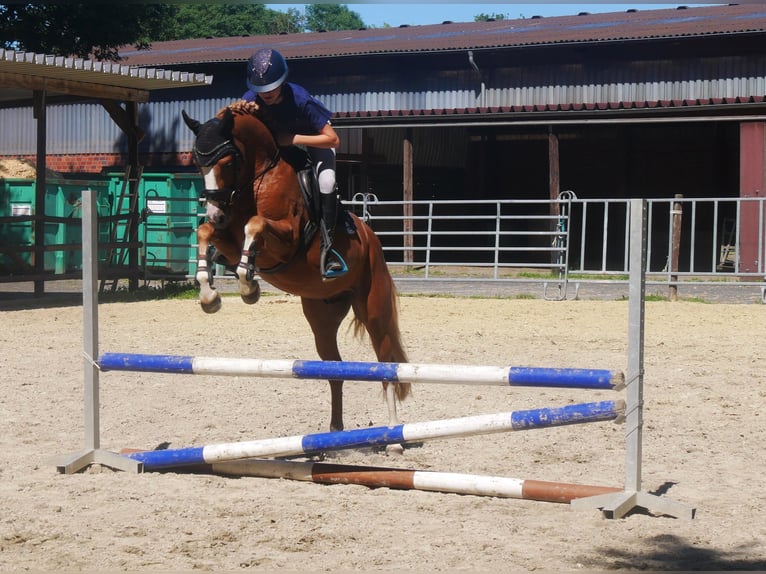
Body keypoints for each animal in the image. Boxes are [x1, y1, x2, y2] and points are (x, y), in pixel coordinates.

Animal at [182, 103, 412, 438]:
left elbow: (255, 224)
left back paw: (394, 434)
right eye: (199, 163)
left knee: (385, 365)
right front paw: (210, 295)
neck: (257, 179)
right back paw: (335, 430)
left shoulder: (287, 239)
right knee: (335, 369)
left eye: (228, 161)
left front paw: (248, 287)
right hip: (321, 317)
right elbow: (204, 232)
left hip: (373, 310)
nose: (215, 212)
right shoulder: (228, 239)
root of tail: (371, 239)